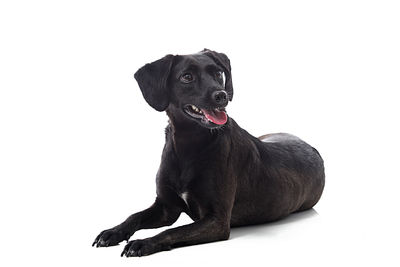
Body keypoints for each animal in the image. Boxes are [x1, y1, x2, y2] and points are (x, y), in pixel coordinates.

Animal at [92, 49, 324, 258]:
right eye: (187, 77)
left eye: (218, 74)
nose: (221, 95)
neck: (188, 146)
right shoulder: (166, 207)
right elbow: (134, 216)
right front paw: (112, 232)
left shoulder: (217, 221)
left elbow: (173, 230)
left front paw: (143, 243)